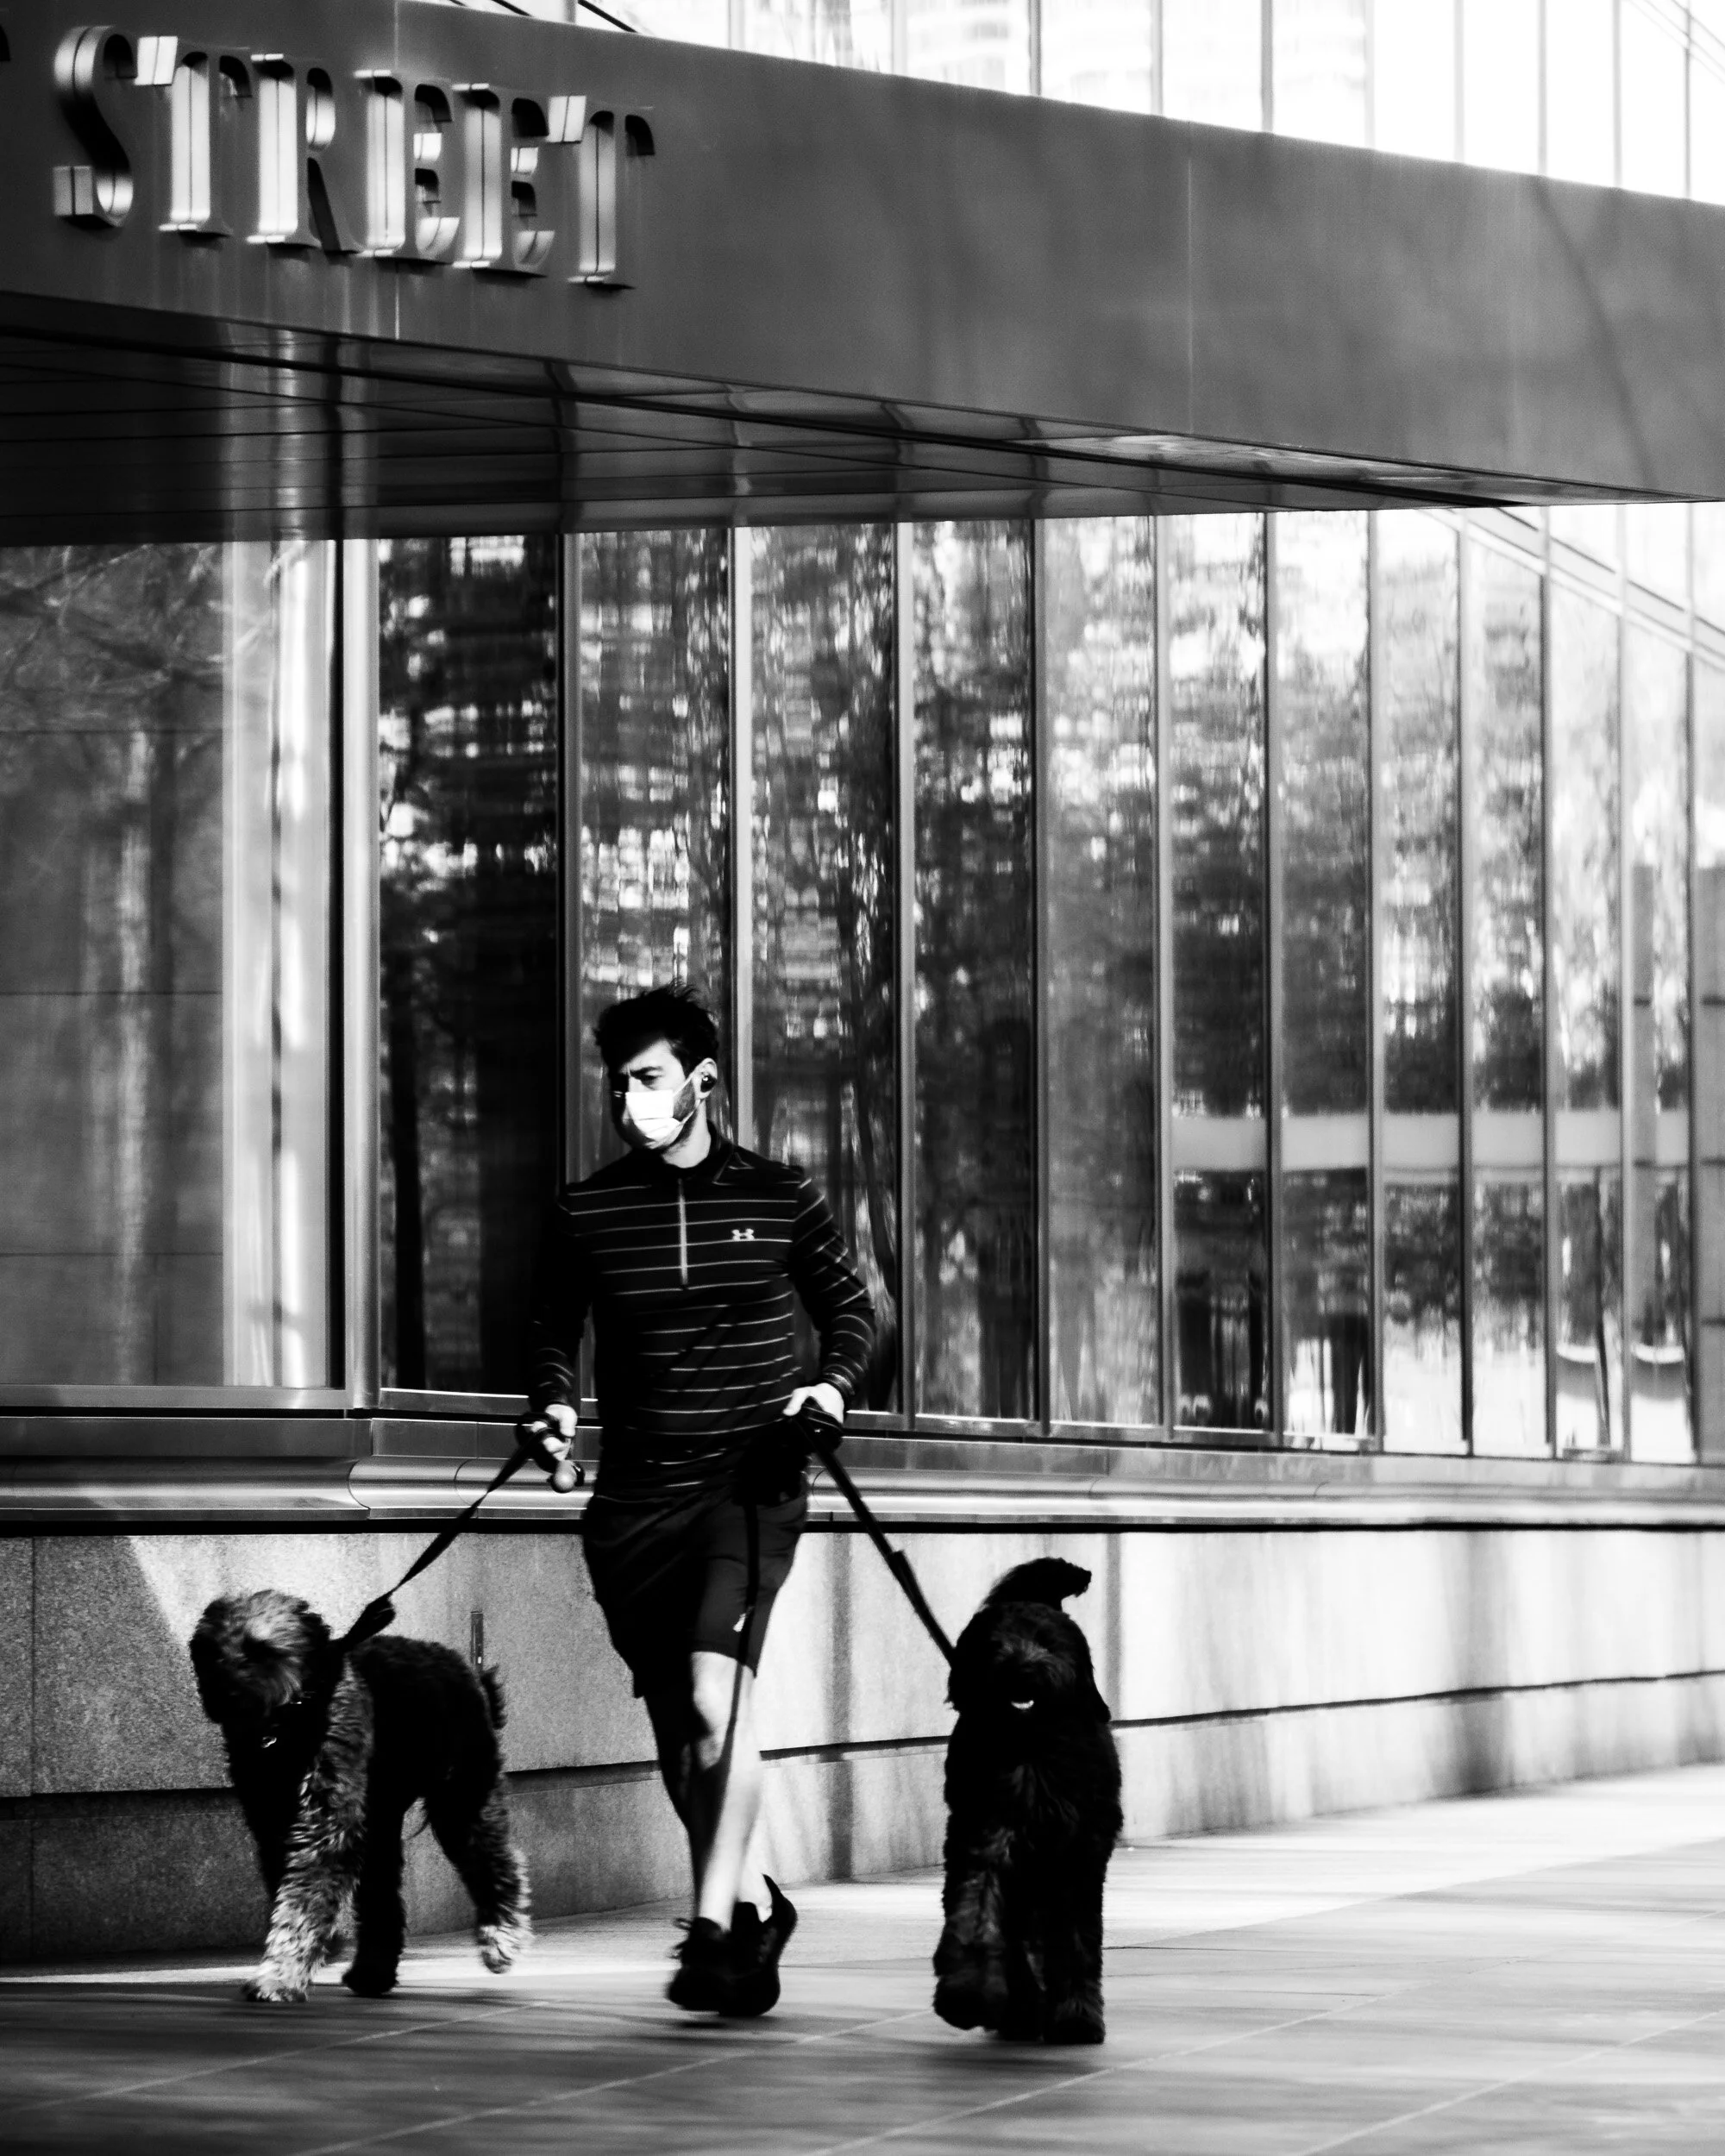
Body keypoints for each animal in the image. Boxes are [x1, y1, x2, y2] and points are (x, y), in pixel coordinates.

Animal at [189, 1589, 531, 2003]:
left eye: (262, 1650)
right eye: (209, 1652)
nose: (223, 1694)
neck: (293, 1722)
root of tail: (468, 1669)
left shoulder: (325, 1827)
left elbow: (300, 1905)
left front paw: (280, 1976)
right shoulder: (274, 1826)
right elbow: (289, 1895)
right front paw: (312, 1953)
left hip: (460, 1804)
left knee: (498, 1867)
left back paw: (502, 1940)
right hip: (382, 1825)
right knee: (383, 1903)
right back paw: (373, 1972)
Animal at [932, 1558, 1121, 2045]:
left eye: (1048, 1642)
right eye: (994, 1642)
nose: (1022, 1670)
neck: (1029, 1746)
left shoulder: (1078, 1857)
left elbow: (1075, 1940)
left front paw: (1076, 2016)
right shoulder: (987, 1838)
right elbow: (977, 1918)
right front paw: (967, 1996)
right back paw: (1020, 2011)